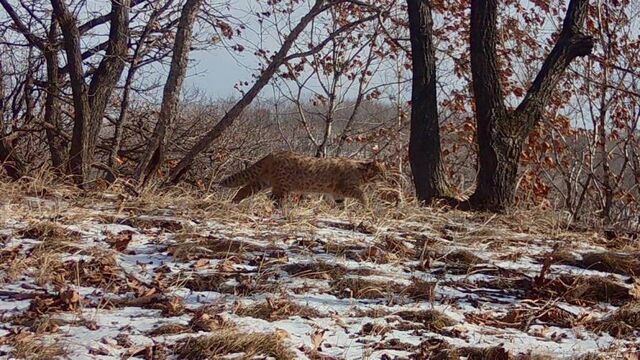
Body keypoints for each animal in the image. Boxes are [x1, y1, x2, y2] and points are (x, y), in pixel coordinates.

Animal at [219, 150, 384, 207]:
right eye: (381, 173)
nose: (386, 178)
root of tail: (272, 154)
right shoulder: (346, 188)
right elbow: (362, 194)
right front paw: (366, 206)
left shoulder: (338, 194)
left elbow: (340, 204)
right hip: (282, 186)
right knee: (273, 198)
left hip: (262, 181)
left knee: (243, 189)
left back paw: (233, 203)